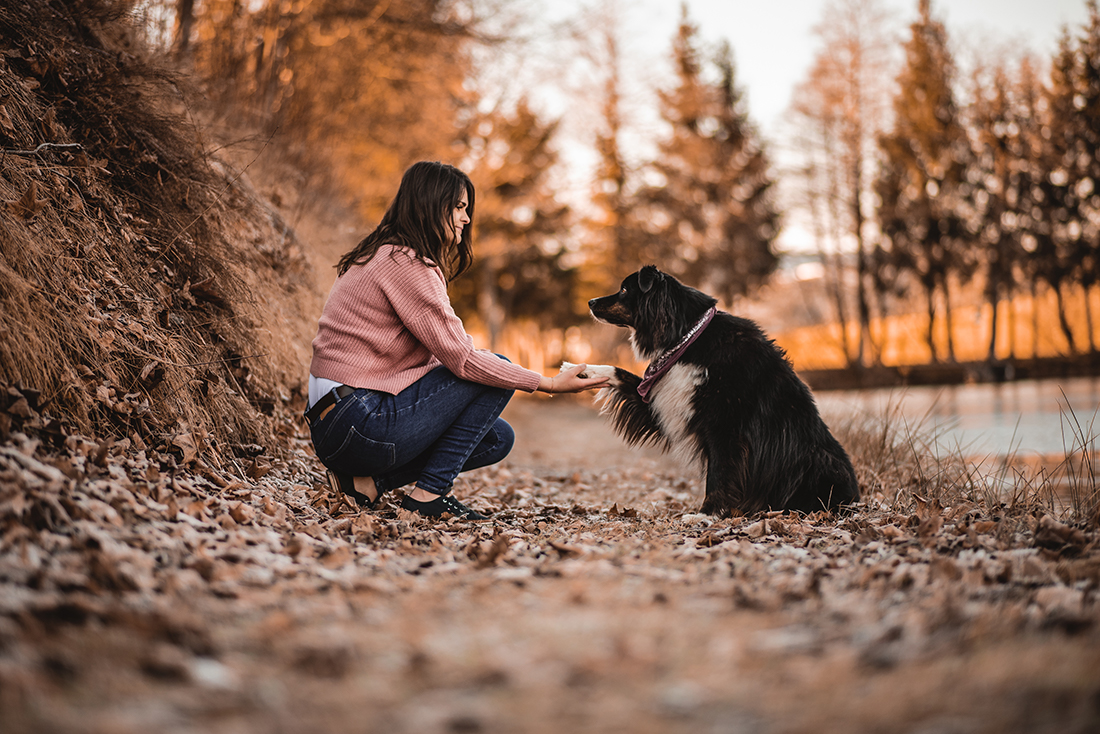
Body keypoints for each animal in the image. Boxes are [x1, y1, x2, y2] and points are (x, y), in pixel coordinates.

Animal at [572, 265, 862, 517]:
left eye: (623, 290)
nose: (590, 302)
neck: (687, 338)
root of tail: (857, 500)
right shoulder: (660, 396)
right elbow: (619, 373)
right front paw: (580, 370)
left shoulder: (725, 426)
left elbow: (719, 474)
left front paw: (706, 514)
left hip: (819, 463)